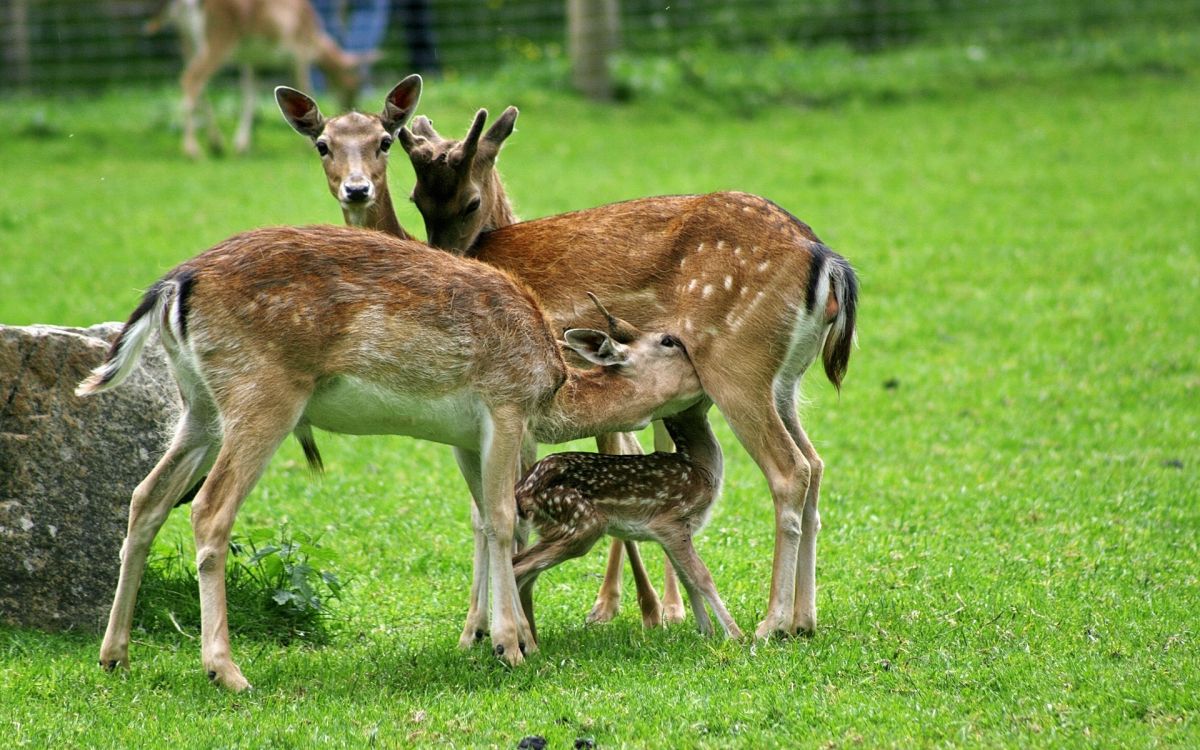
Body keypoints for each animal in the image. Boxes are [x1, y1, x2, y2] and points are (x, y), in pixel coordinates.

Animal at [75, 223, 705, 691]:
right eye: (672, 341)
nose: (709, 382)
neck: (551, 389)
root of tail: (172, 287)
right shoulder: (504, 404)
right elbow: (504, 520)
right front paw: (511, 645)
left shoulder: (468, 435)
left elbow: (485, 521)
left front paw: (495, 638)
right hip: (262, 393)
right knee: (209, 508)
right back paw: (226, 671)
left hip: (199, 406)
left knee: (146, 496)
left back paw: (115, 655)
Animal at [147, 0, 367, 156]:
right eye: (354, 84)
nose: (350, 107)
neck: (316, 40)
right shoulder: (299, 53)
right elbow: (304, 87)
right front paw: (307, 143)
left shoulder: (252, 60)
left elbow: (249, 95)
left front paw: (243, 145)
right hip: (218, 37)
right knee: (191, 79)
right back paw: (192, 150)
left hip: (187, 41)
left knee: (194, 83)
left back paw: (216, 144)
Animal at [516, 403, 739, 643]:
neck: (700, 468)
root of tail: (521, 492)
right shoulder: (670, 521)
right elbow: (702, 576)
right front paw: (736, 636)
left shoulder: (673, 533)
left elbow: (687, 578)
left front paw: (707, 632)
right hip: (581, 524)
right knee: (518, 569)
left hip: (557, 529)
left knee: (524, 570)